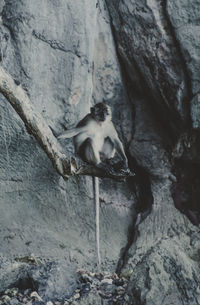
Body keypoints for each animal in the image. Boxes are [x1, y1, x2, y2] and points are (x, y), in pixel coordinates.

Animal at [57, 102, 130, 268]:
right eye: (99, 111)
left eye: (106, 111)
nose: (103, 115)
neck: (99, 124)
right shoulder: (88, 121)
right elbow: (75, 132)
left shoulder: (109, 124)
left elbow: (115, 138)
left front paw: (125, 162)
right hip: (88, 155)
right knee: (89, 141)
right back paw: (99, 164)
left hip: (103, 152)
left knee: (109, 139)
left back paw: (110, 162)